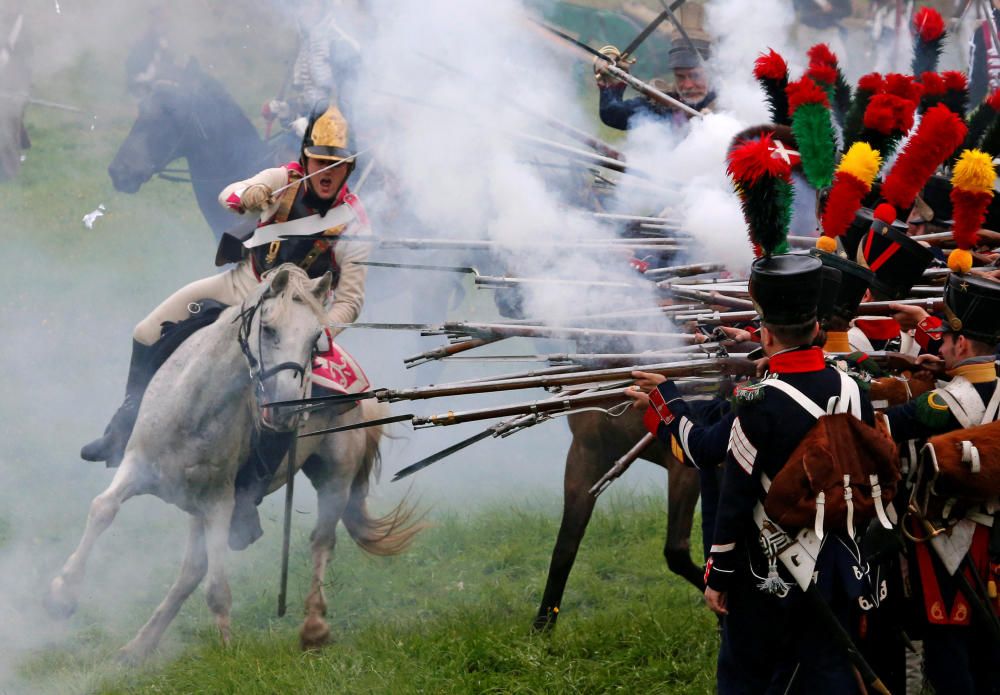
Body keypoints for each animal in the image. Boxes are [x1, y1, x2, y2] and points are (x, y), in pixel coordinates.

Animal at [46, 264, 422, 660]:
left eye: (315, 339)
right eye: (268, 328)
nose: (288, 409)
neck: (194, 408)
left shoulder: (219, 501)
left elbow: (217, 588)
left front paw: (228, 650)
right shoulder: (138, 466)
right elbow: (103, 509)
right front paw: (61, 595)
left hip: (334, 475)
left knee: (321, 541)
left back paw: (314, 627)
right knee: (191, 570)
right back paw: (138, 646)